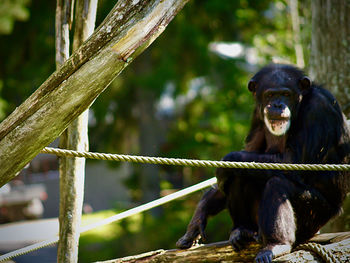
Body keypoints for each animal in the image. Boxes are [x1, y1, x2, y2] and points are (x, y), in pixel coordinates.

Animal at [176, 64, 350, 263]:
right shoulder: (256, 115)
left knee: (277, 184)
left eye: (286, 94)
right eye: (270, 95)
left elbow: (293, 162)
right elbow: (248, 154)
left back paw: (277, 244)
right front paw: (198, 217)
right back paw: (242, 230)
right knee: (240, 177)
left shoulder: (318, 108)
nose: (277, 105)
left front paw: (227, 162)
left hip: (316, 217)